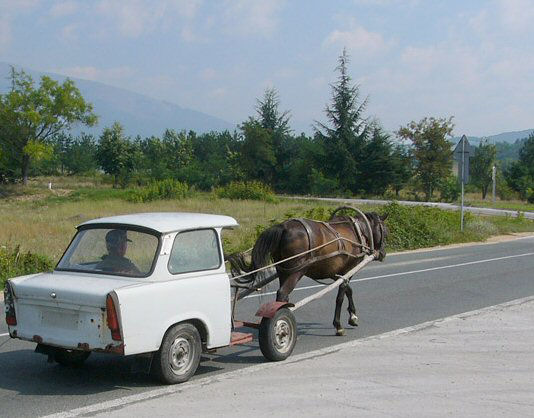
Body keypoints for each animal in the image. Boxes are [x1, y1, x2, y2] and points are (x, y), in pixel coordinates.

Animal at [239, 208, 390, 336]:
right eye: (385, 231)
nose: (382, 253)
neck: (357, 232)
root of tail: (283, 227)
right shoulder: (348, 270)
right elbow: (340, 296)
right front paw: (338, 325)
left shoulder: (337, 273)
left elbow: (349, 291)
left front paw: (353, 316)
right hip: (297, 271)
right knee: (282, 293)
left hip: (283, 271)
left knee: (283, 296)